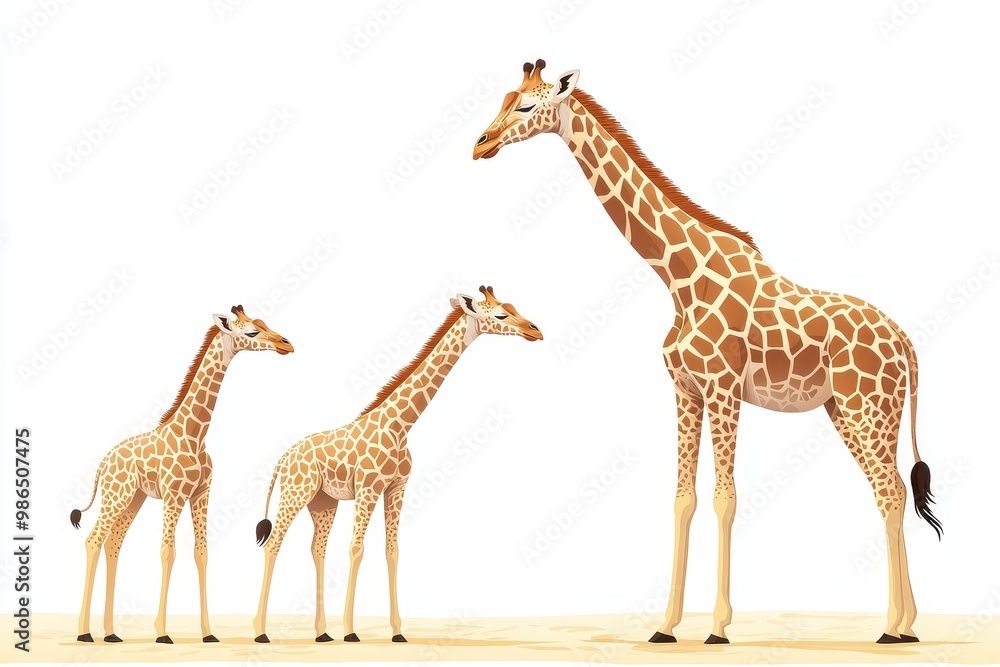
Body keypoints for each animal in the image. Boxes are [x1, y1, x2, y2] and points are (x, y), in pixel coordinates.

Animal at [70, 305, 294, 644]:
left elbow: (201, 553)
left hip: (133, 499)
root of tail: (103, 463)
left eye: (263, 322)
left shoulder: (201, 494)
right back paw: (84, 632)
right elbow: (167, 552)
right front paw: (162, 633)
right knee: (93, 540)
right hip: (116, 495)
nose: (286, 344)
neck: (194, 434)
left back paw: (110, 633)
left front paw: (209, 634)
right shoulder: (173, 495)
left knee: (113, 544)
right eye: (252, 331)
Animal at [251, 287, 542, 644]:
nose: (535, 331)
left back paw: (322, 633)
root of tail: (283, 458)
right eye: (501, 314)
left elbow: (392, 550)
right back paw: (261, 632)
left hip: (323, 501)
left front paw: (398, 632)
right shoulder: (367, 488)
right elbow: (356, 549)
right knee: (274, 543)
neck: (399, 426)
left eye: (514, 307)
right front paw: (351, 632)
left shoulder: (397, 488)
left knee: (317, 549)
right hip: (296, 492)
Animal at [474, 60, 942, 644]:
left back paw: (892, 627)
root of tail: (905, 342)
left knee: (891, 492)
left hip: (868, 408)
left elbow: (726, 497)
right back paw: (905, 624)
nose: (481, 144)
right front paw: (665, 625)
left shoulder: (724, 388)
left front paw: (718, 627)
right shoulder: (686, 390)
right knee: (891, 490)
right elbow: (683, 499)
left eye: (527, 105)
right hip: (853, 410)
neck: (677, 276)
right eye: (503, 98)